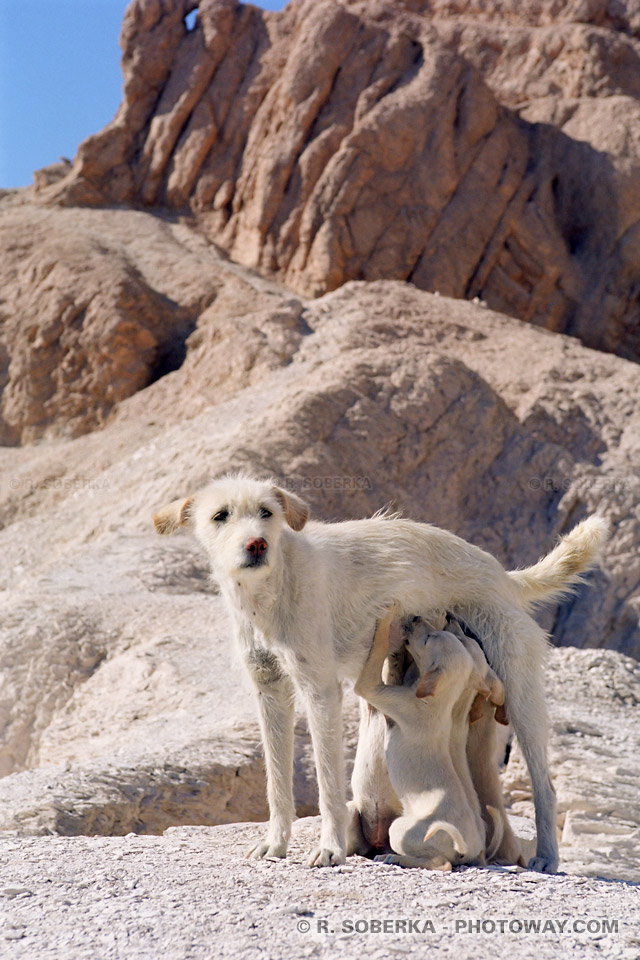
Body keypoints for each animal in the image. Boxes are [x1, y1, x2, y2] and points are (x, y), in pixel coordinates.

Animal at [152, 472, 608, 872]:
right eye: (220, 516)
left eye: (267, 512)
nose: (256, 544)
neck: (273, 586)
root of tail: (504, 576)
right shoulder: (271, 693)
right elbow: (277, 783)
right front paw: (275, 844)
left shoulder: (320, 691)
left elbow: (327, 784)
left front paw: (331, 849)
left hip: (520, 692)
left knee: (545, 787)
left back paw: (546, 856)